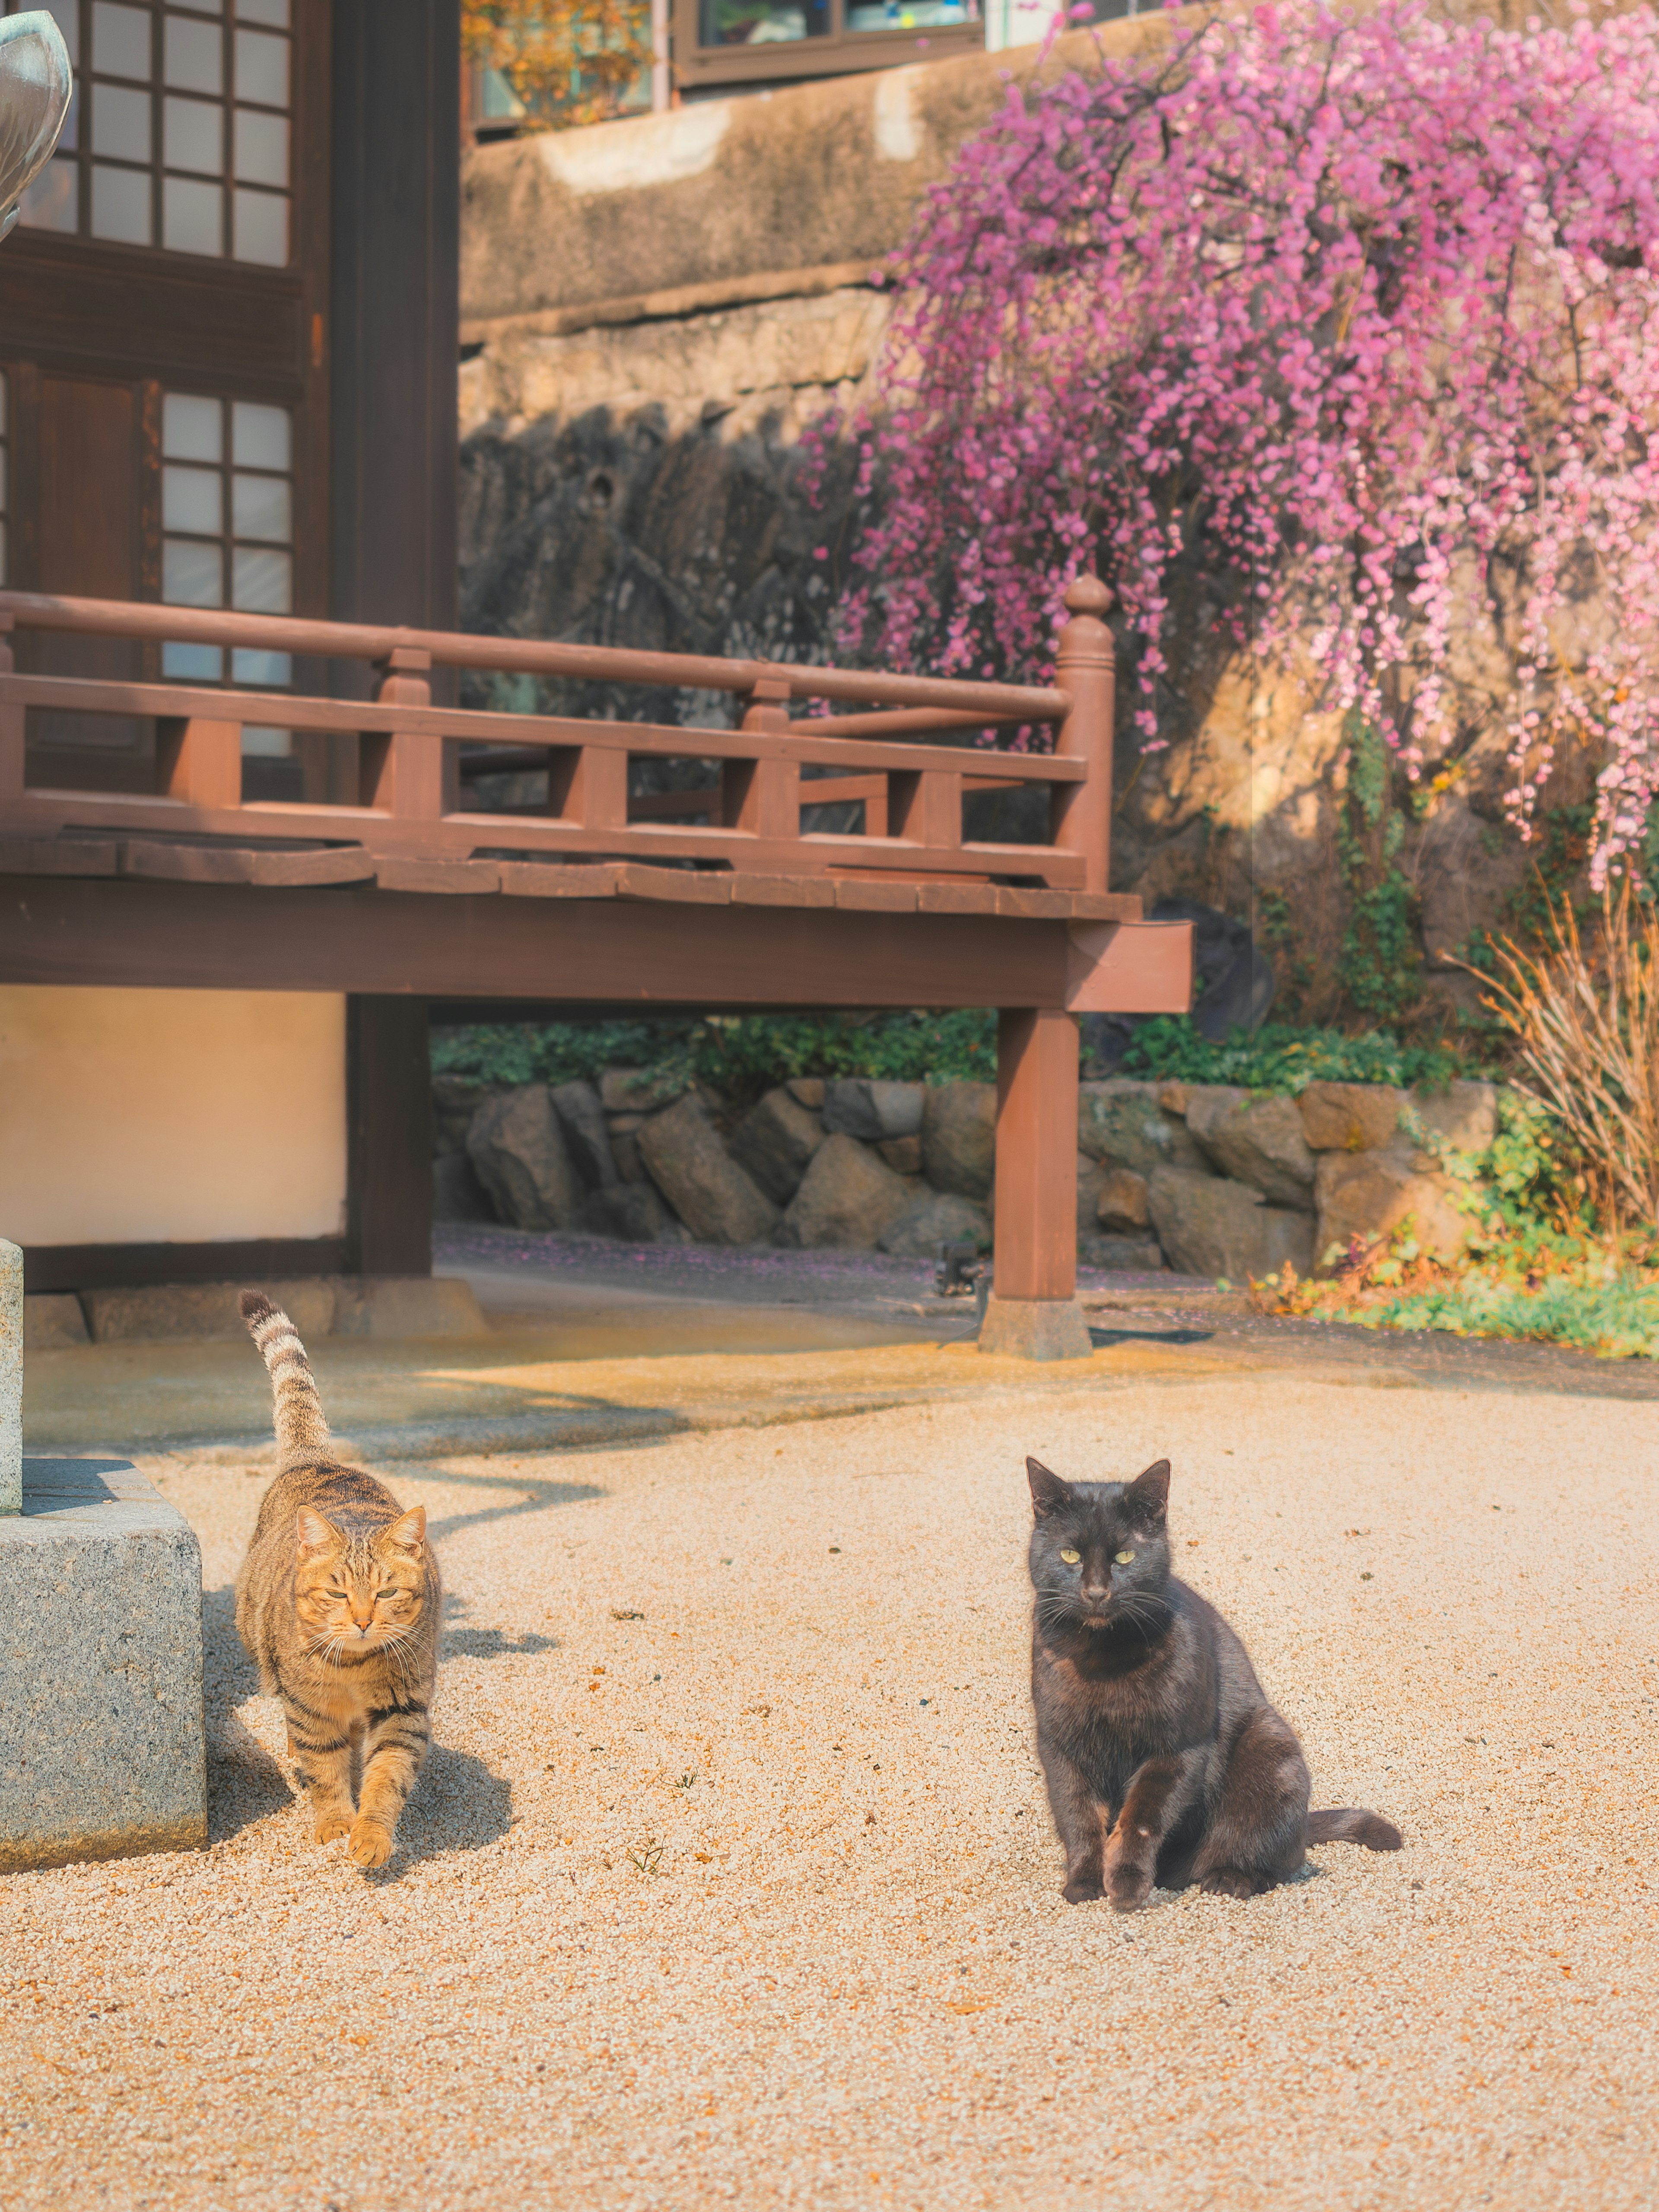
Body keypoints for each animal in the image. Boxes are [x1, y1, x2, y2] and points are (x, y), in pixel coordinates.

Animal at [236, 1292, 442, 1875]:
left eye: (387, 1593)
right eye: (336, 1592)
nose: (363, 1620)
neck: (354, 1670)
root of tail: (317, 1458)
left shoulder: (402, 1711)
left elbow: (386, 1777)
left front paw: (370, 1834)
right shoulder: (311, 1709)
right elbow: (325, 1770)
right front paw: (334, 1823)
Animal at [1026, 1460, 1407, 1911]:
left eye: (1125, 1556)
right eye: (1069, 1554)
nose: (1097, 1592)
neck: (1104, 1663)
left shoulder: (1178, 1747)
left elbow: (1140, 1820)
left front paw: (1127, 1885)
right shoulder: (1060, 1746)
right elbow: (1079, 1818)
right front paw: (1085, 1882)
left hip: (1270, 1747)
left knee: (1271, 1858)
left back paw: (1229, 1878)